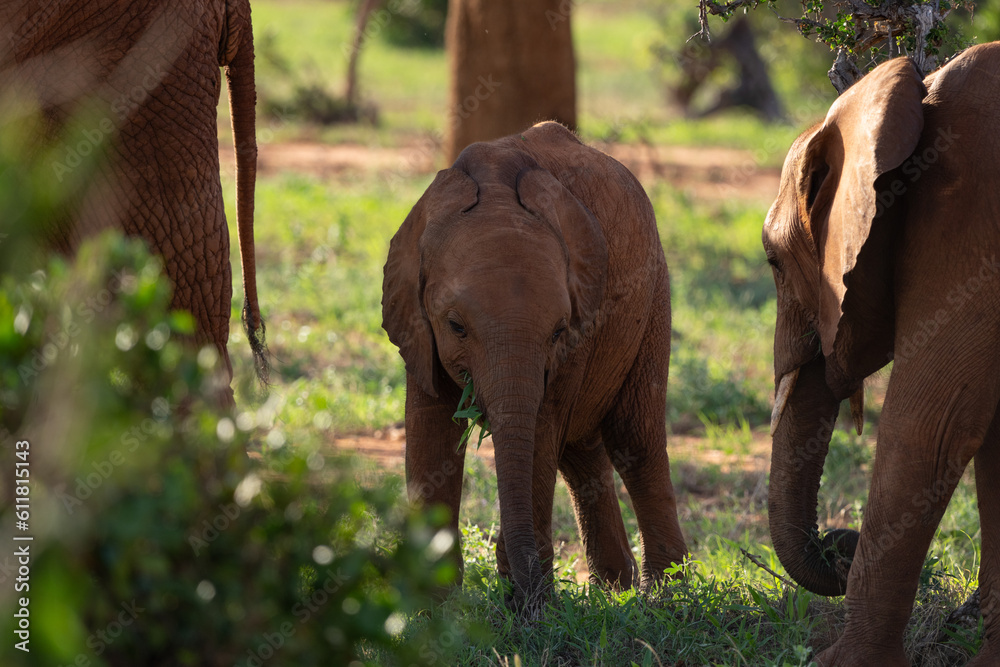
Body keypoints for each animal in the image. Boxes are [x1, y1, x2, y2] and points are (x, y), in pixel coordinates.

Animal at [382, 121, 688, 608]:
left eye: (559, 331)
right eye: (456, 326)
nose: (523, 596)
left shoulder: (581, 326)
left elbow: (542, 428)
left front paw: (531, 608)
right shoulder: (416, 324)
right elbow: (430, 423)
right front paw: (432, 610)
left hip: (654, 292)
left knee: (634, 439)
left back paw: (664, 596)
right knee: (581, 454)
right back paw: (615, 589)